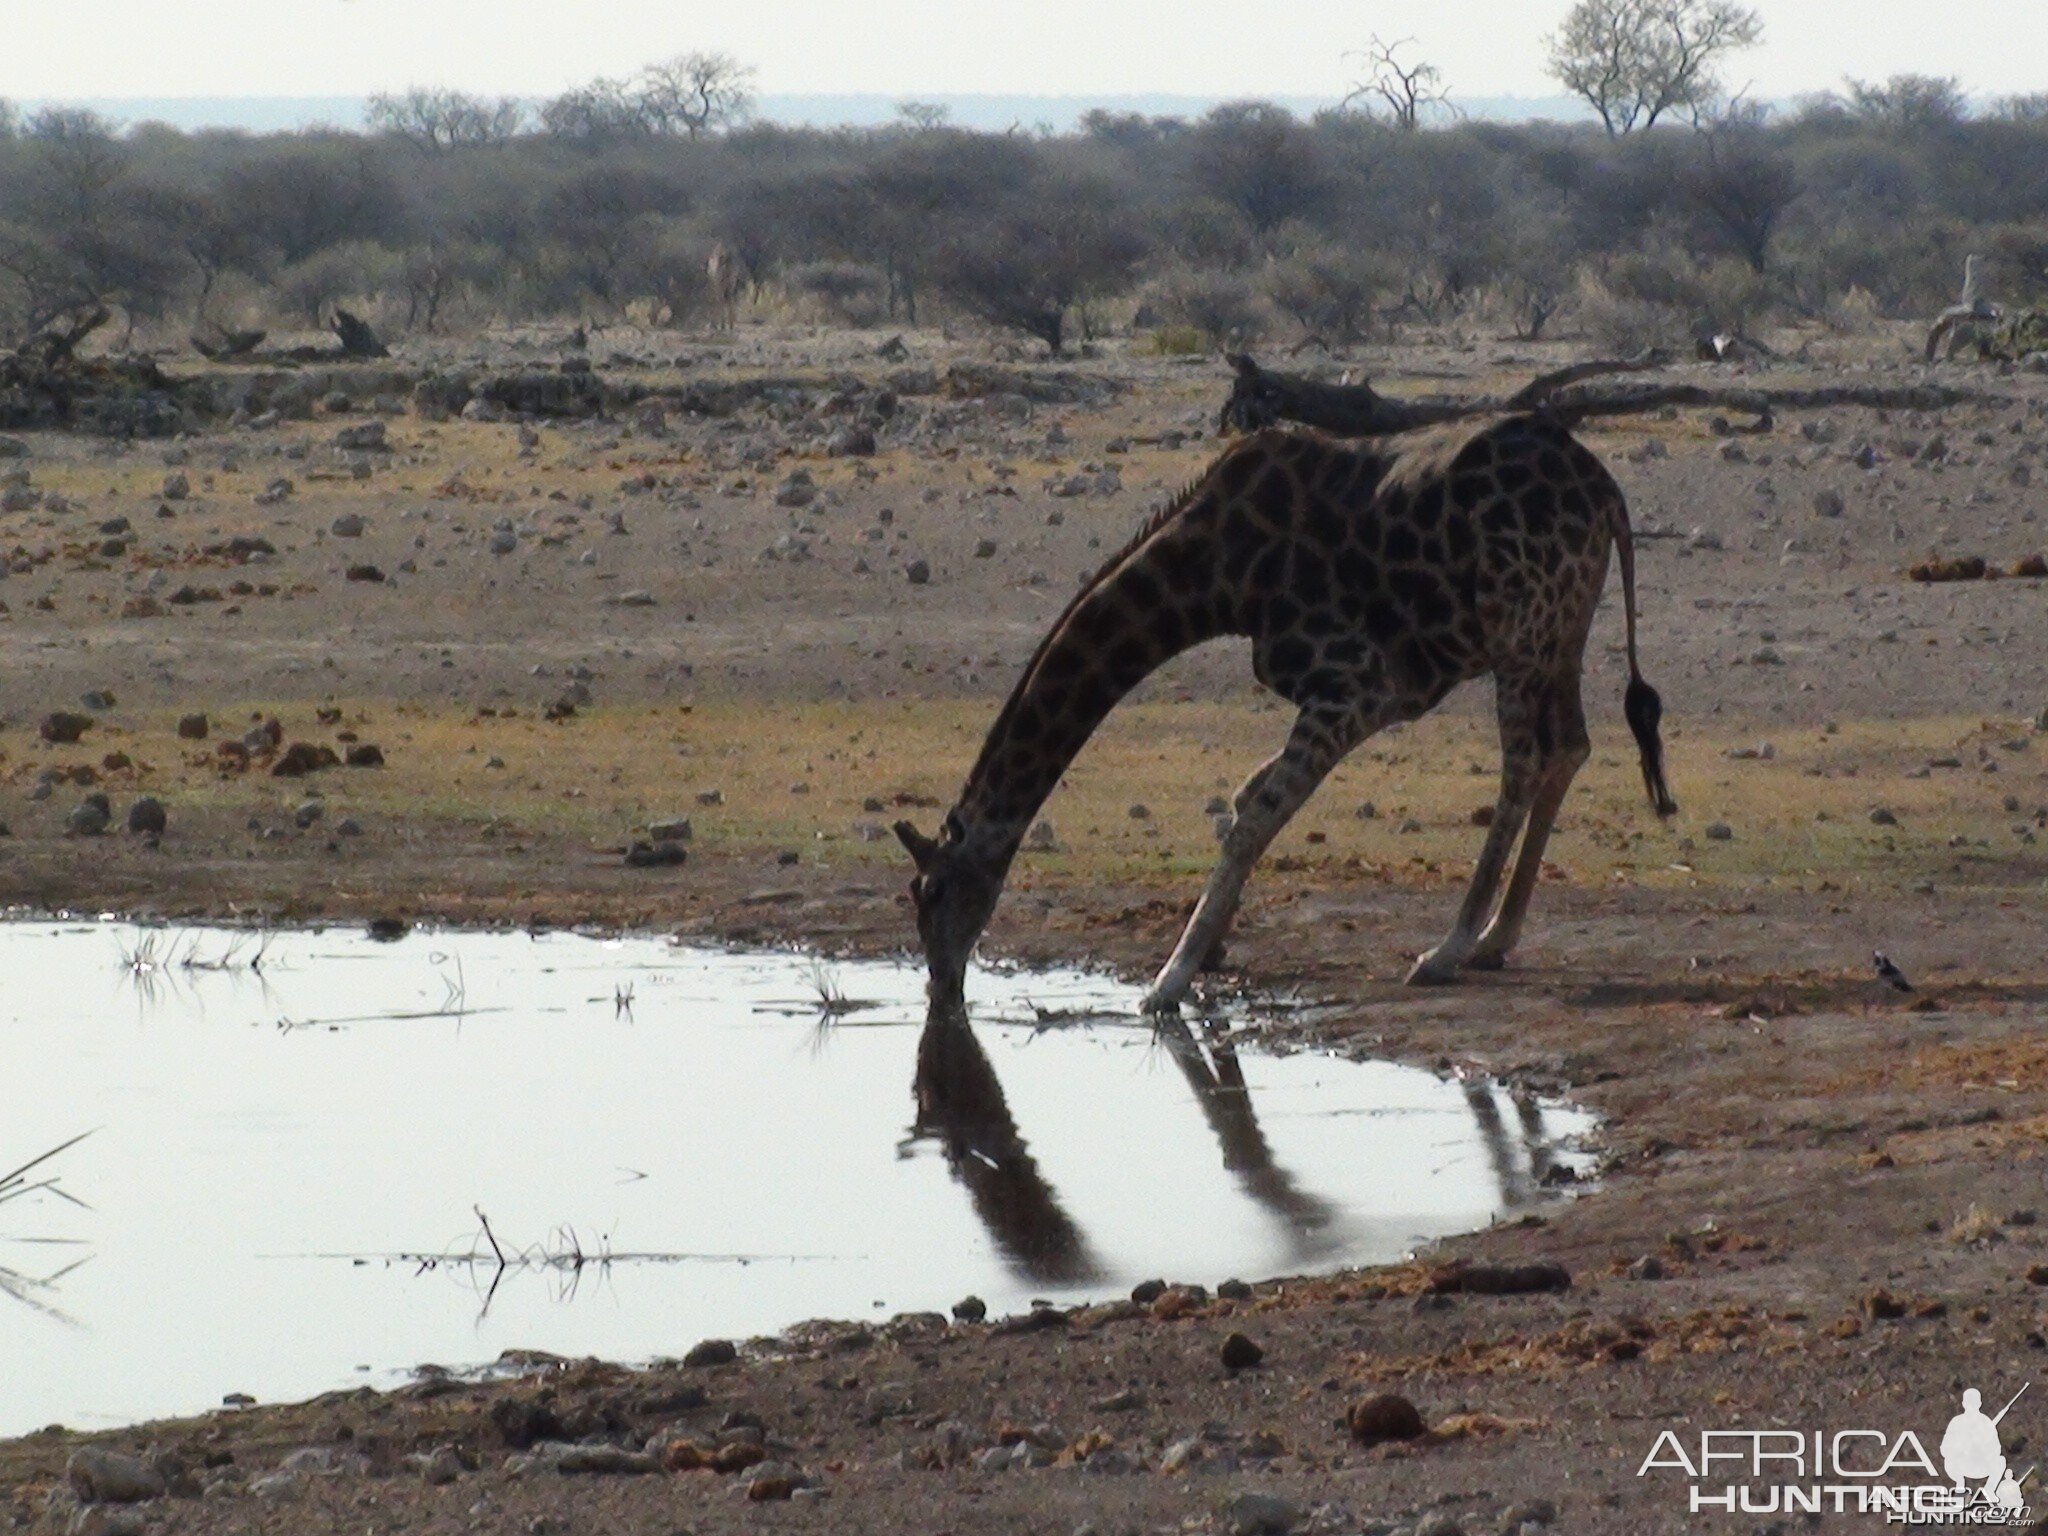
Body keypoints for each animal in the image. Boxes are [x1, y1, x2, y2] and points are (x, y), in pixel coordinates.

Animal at [888, 411, 1671, 1011]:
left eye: (930, 892)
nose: (941, 988)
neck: (1214, 575)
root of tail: (1605, 490)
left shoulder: (1354, 685)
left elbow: (1254, 819)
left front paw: (1167, 981)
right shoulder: (1388, 695)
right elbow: (1243, 801)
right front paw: (1210, 947)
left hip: (1518, 626)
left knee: (1525, 764)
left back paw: (1447, 949)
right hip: (1561, 627)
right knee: (1569, 746)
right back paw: (1495, 940)